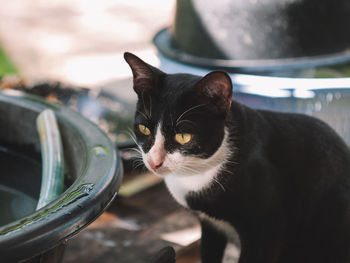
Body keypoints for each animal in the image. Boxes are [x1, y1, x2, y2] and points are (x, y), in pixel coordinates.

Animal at [124, 52, 350, 263]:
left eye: (183, 136)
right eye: (144, 129)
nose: (154, 162)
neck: (197, 174)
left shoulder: (267, 228)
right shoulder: (210, 226)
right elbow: (208, 253)